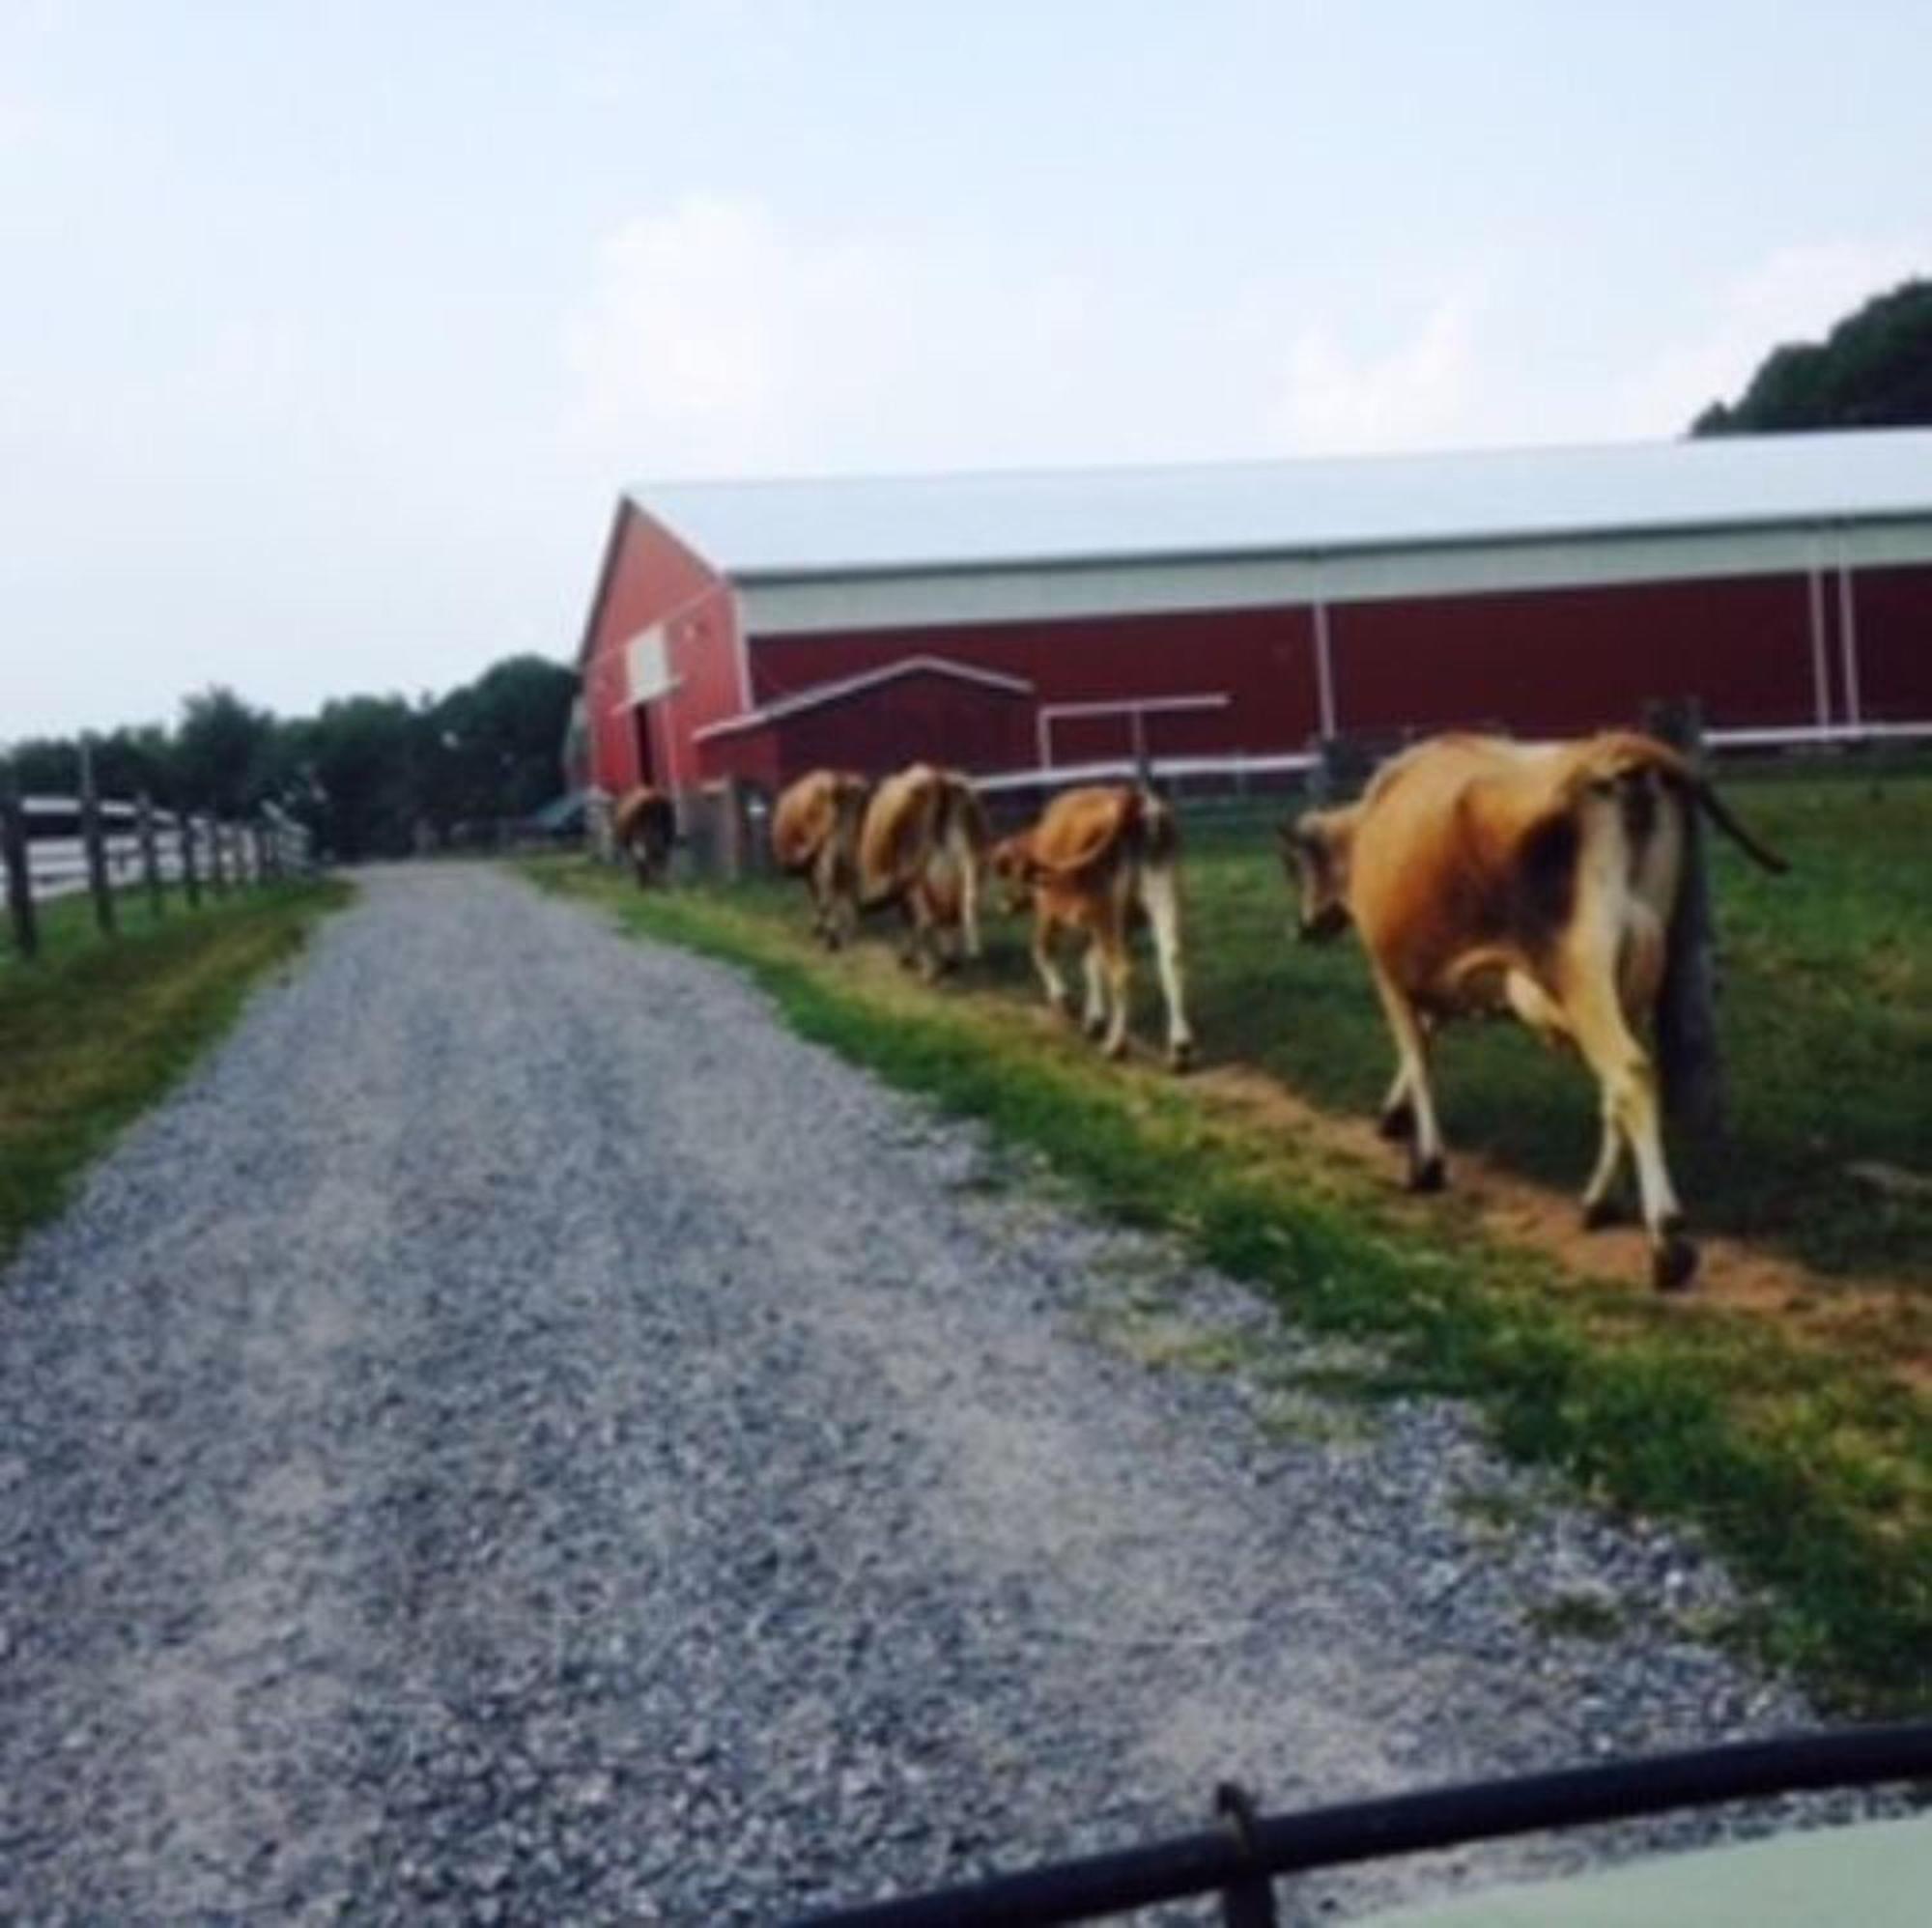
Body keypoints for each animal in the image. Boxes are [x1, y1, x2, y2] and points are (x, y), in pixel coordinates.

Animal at [854, 765, 989, 981]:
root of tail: (938, 781)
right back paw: (952, 959)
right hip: (969, 869)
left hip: (915, 879)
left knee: (926, 919)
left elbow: (913, 920)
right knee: (963, 907)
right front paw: (947, 960)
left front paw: (911, 958)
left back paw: (929, 968)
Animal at [997, 792, 1190, 1082]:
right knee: (1172, 962)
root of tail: (1135, 800)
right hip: (1161, 898)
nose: (1008, 904)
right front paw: (1094, 1019)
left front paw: (1064, 999)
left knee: (1122, 971)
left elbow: (1042, 949)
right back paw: (1179, 1049)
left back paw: (1116, 1045)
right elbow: (1090, 963)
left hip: (1105, 908)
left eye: (1012, 873)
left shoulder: (1050, 910)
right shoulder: (1120, 926)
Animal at [1275, 730, 1785, 1290]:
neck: (1371, 822)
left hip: (1580, 970)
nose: (1301, 928)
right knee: (1618, 1085)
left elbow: (1418, 1057)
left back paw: (1667, 1241)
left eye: (1294, 867)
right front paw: (1395, 1116)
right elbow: (1424, 1045)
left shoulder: (1388, 972)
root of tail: (1613, 751)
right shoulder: (1436, 975)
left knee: (1628, 1073)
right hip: (1635, 967)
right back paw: (1599, 1202)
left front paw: (1426, 1162)